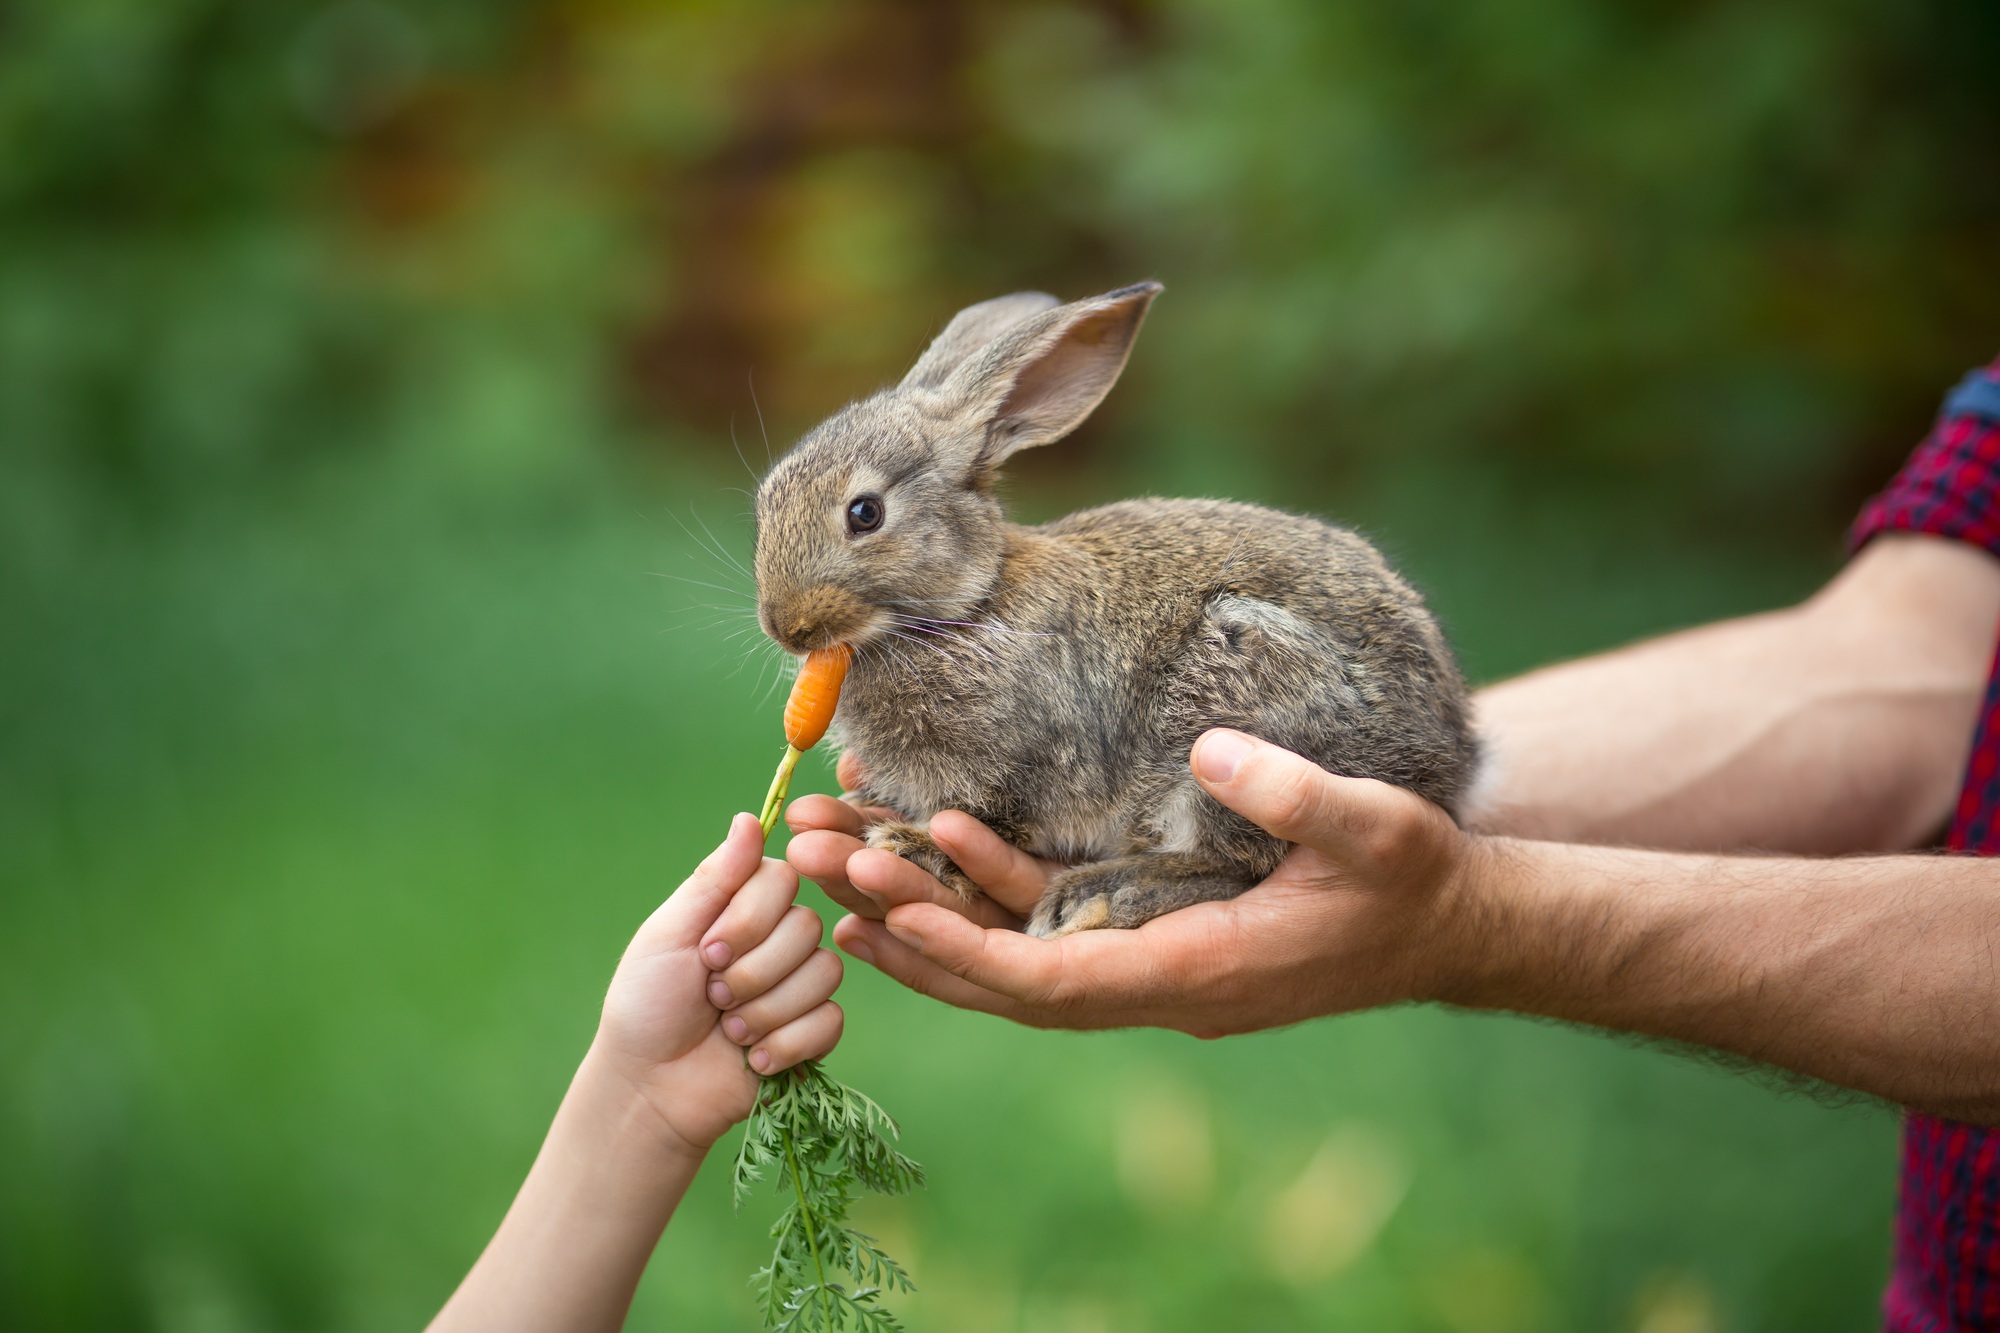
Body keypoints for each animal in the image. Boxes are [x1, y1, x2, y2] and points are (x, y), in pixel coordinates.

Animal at [756, 280, 1480, 932]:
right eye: (766, 498)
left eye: (865, 513)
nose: (787, 627)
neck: (969, 605)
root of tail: (1448, 762)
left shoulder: (1026, 763)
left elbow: (993, 819)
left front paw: (918, 845)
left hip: (1231, 722)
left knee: (1236, 862)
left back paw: (1101, 893)